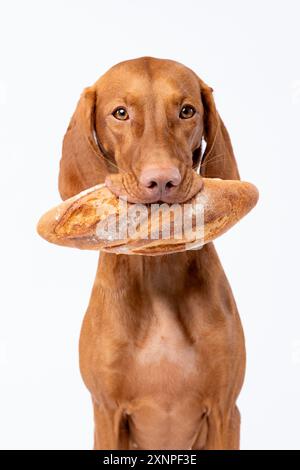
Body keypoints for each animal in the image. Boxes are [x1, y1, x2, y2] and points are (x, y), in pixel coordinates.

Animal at [59, 57, 246, 450]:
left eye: (187, 110)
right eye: (120, 113)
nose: (162, 180)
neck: (158, 263)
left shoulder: (225, 410)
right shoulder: (107, 412)